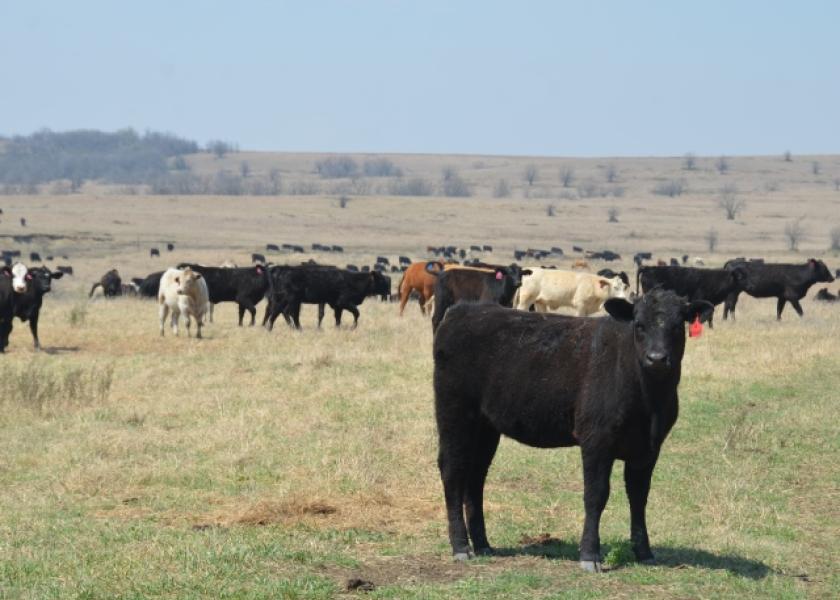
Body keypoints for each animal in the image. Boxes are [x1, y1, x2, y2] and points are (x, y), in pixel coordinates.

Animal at [433, 291, 714, 570]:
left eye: (677, 325)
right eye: (639, 325)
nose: (656, 358)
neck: (650, 403)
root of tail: (464, 310)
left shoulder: (648, 448)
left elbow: (639, 496)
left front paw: (644, 551)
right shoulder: (596, 440)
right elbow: (596, 495)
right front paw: (590, 555)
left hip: (485, 427)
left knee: (476, 476)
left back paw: (482, 544)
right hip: (454, 413)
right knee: (453, 471)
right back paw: (461, 546)